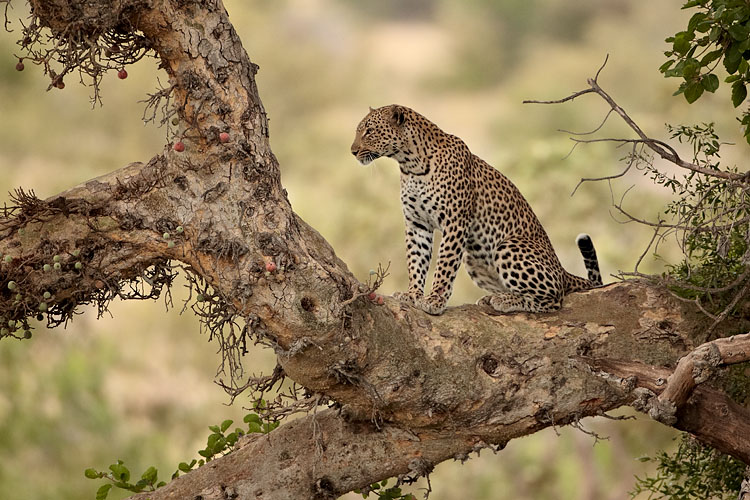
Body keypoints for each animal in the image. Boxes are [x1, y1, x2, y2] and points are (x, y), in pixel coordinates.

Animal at [350, 104, 602, 316]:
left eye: (369, 131)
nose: (352, 151)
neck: (411, 165)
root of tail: (562, 270)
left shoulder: (455, 221)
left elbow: (444, 264)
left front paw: (434, 301)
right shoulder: (417, 223)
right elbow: (416, 261)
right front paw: (412, 294)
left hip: (508, 246)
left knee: (553, 299)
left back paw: (507, 300)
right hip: (475, 259)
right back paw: (493, 297)